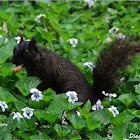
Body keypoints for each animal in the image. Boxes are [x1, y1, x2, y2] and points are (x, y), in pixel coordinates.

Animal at [11, 35, 140, 104]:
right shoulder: (31, 75)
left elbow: (44, 85)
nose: (13, 61)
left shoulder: (46, 73)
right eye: (14, 48)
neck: (34, 62)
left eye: (26, 52)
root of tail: (94, 98)